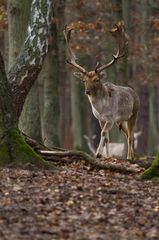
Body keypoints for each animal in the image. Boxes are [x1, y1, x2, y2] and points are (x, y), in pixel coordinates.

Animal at [64, 21, 140, 159]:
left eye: (96, 79)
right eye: (84, 80)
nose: (87, 91)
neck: (101, 108)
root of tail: (135, 93)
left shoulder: (110, 118)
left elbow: (103, 133)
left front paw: (98, 154)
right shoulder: (100, 119)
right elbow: (106, 137)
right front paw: (107, 156)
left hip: (134, 114)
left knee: (131, 136)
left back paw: (130, 157)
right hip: (120, 121)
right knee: (127, 134)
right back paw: (130, 155)